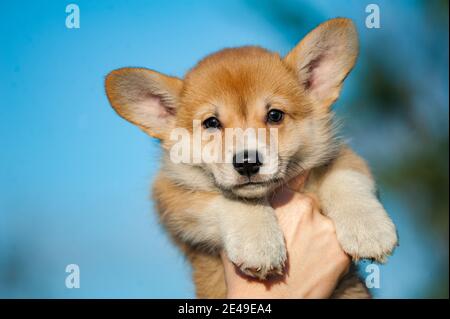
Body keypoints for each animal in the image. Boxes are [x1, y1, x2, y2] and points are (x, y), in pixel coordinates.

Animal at [104, 18, 398, 300]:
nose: (247, 163)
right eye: (211, 123)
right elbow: (232, 199)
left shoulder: (342, 157)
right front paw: (259, 244)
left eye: (275, 115)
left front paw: (368, 230)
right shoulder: (172, 196)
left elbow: (345, 178)